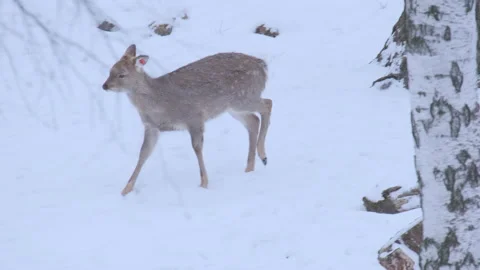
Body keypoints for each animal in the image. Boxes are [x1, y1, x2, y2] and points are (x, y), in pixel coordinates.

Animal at [102, 44, 272, 196]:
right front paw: (125, 190)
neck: (158, 102)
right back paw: (250, 167)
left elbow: (196, 148)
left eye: (122, 74)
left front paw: (204, 184)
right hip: (233, 107)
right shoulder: (151, 127)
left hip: (243, 97)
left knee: (267, 104)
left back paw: (263, 155)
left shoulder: (194, 117)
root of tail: (262, 65)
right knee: (253, 120)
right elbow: (144, 153)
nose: (105, 86)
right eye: (110, 71)